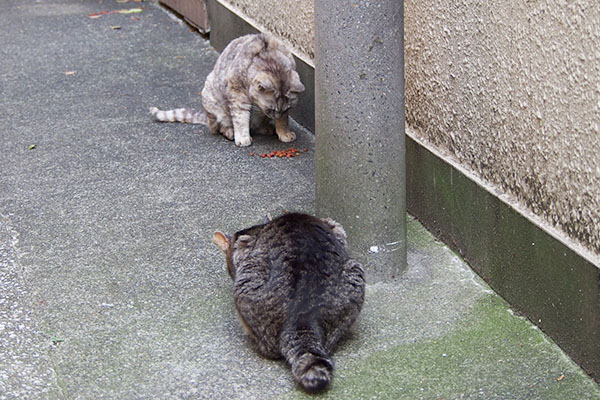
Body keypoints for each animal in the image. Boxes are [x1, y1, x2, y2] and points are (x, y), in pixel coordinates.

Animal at [148, 33, 302, 147]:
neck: (272, 63)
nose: (275, 117)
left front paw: (284, 132)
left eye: (286, 109)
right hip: (212, 99)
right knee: (218, 127)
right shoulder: (237, 93)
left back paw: (266, 128)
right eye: (271, 109)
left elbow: (284, 121)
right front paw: (242, 137)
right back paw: (230, 132)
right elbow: (240, 118)